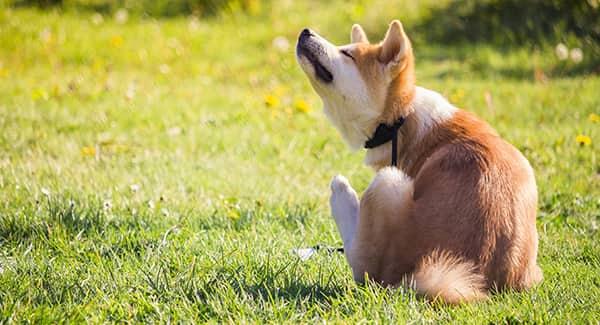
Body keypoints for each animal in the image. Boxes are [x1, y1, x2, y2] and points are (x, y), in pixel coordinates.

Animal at [296, 20, 544, 304]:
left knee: (361, 263)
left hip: (387, 182)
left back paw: (342, 194)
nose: (305, 31)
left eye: (347, 53)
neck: (400, 119)